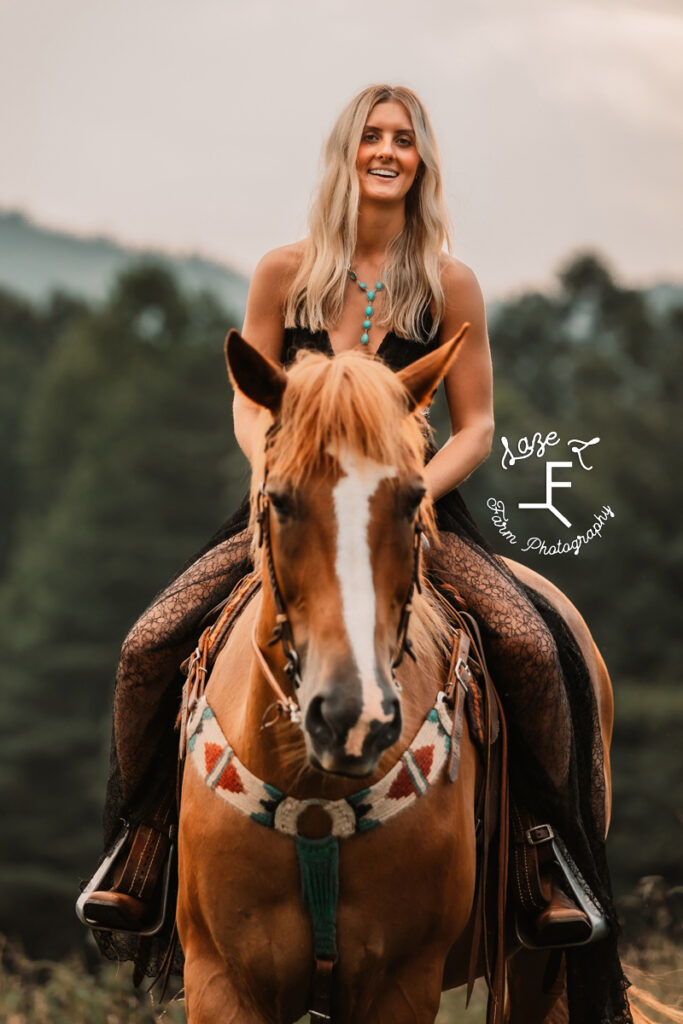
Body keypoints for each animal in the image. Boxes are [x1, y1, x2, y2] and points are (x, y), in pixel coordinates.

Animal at [176, 329, 614, 1024]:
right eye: (280, 499)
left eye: (413, 499)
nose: (350, 716)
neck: (315, 799)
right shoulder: (221, 979)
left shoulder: (400, 983)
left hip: (535, 969)